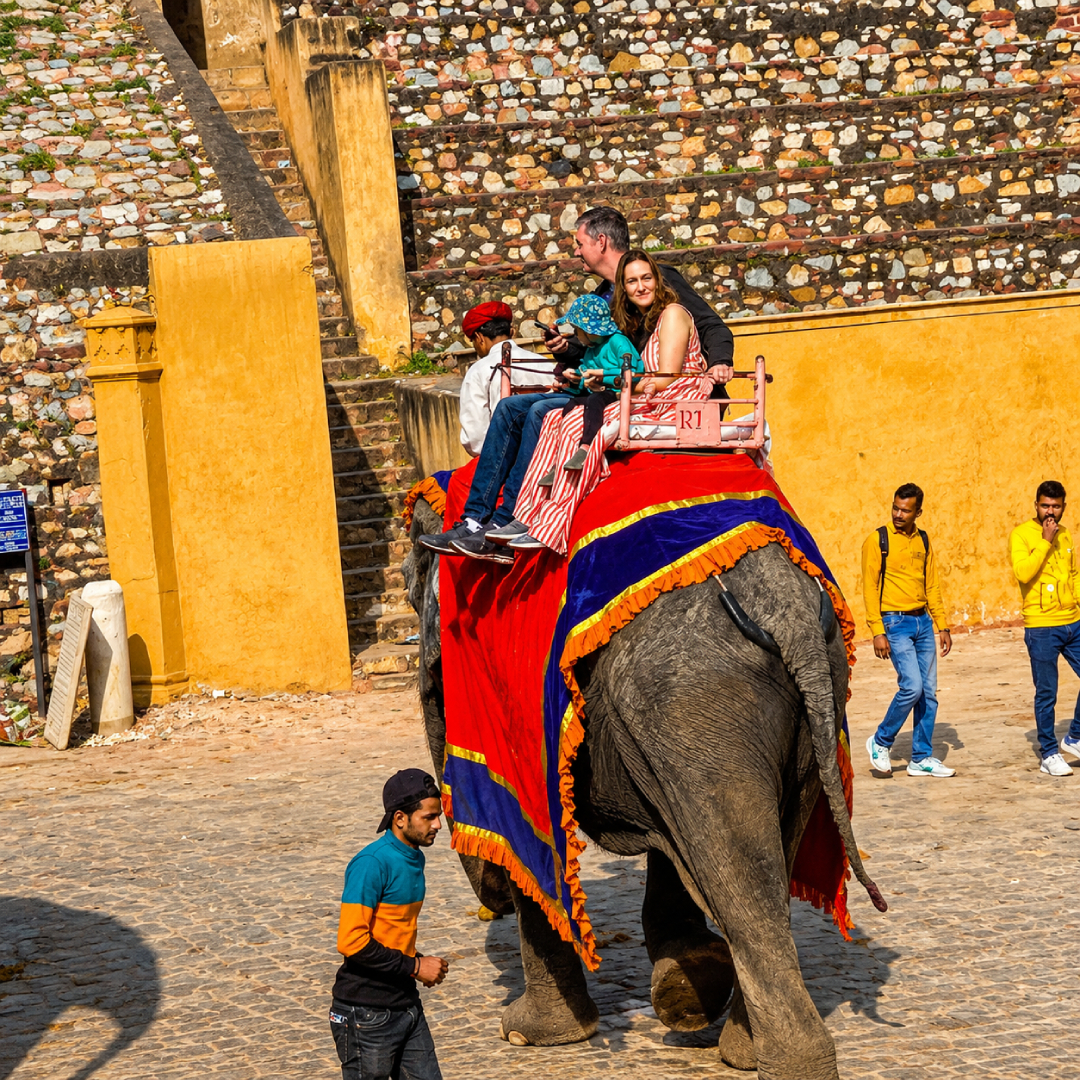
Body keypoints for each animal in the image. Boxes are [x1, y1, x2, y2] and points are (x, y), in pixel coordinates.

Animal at [403, 496, 886, 1080]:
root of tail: (787, 612)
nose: (487, 903)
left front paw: (527, 1034)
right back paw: (740, 1046)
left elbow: (528, 843)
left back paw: (776, 1059)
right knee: (756, 858)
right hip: (802, 705)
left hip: (691, 702)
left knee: (735, 870)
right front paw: (688, 985)